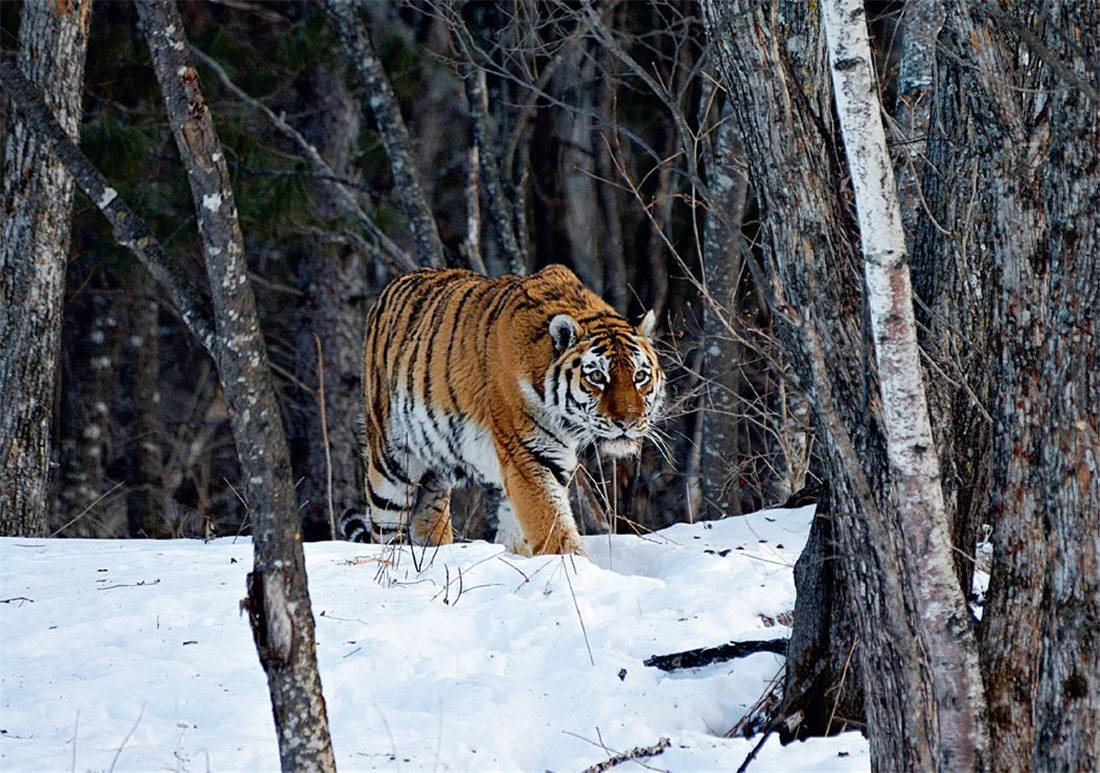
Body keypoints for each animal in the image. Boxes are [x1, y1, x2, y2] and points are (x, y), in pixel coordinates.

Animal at [338, 264, 664, 556]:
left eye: (639, 376)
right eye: (597, 376)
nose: (627, 421)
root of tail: (392, 286)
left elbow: (521, 530)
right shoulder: (528, 454)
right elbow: (552, 525)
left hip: (434, 470)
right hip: (390, 465)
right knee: (386, 531)